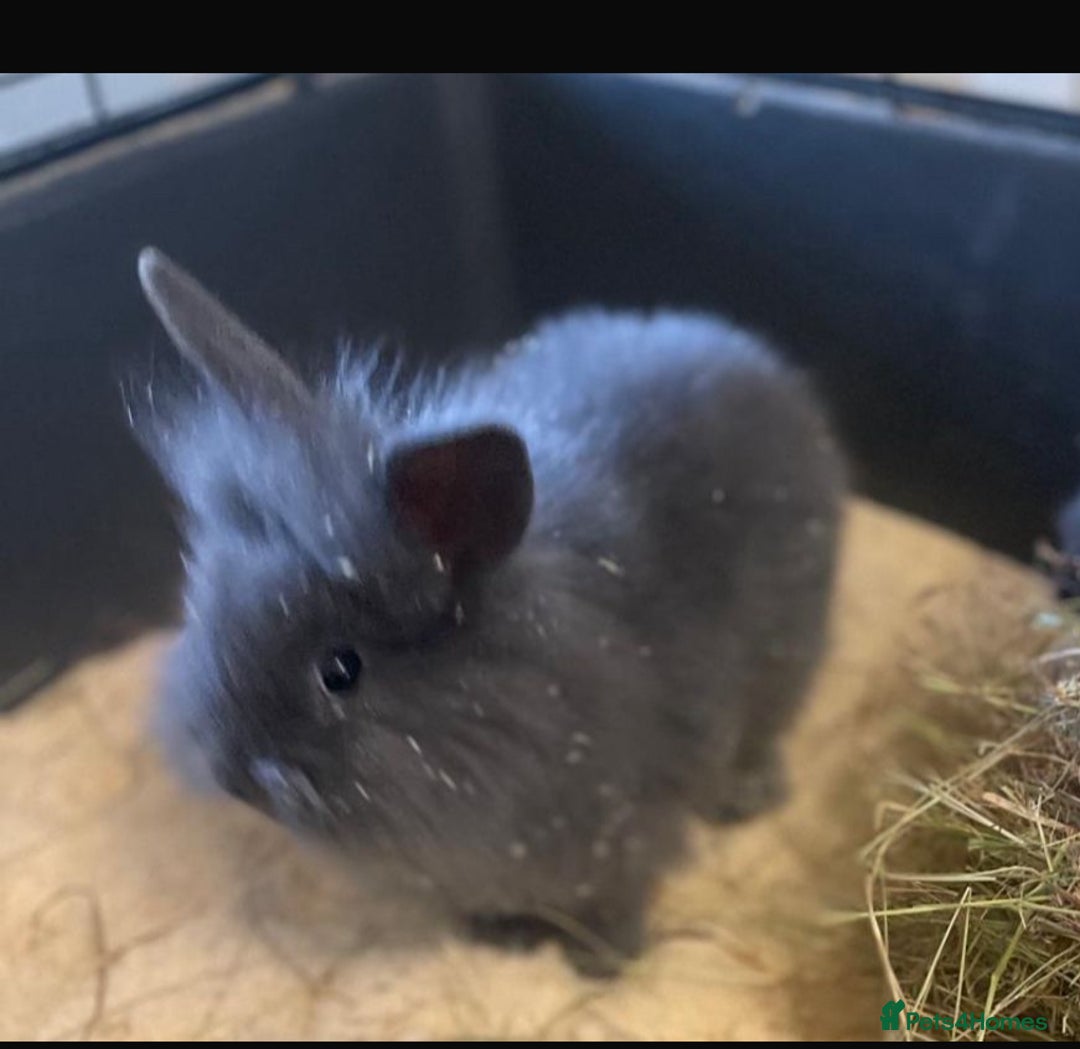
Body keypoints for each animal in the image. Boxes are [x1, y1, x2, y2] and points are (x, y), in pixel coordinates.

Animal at [132, 247, 845, 977]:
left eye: (341, 670)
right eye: (208, 613)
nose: (231, 776)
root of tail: (741, 352)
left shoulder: (629, 834)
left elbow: (616, 901)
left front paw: (602, 964)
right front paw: (502, 939)